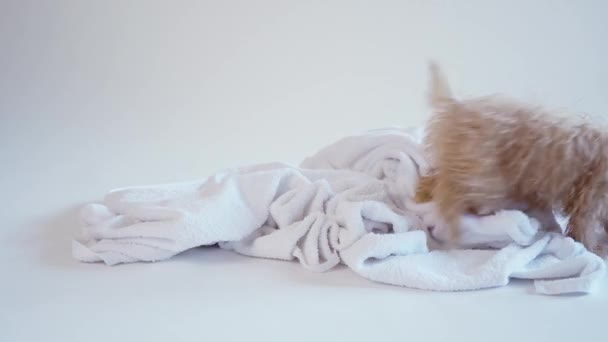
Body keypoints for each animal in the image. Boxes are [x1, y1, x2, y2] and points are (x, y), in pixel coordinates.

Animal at [422, 61, 608, 255]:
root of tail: (456, 108)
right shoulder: (591, 199)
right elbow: (585, 229)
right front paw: (595, 249)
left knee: (434, 183)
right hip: (483, 178)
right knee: (453, 200)